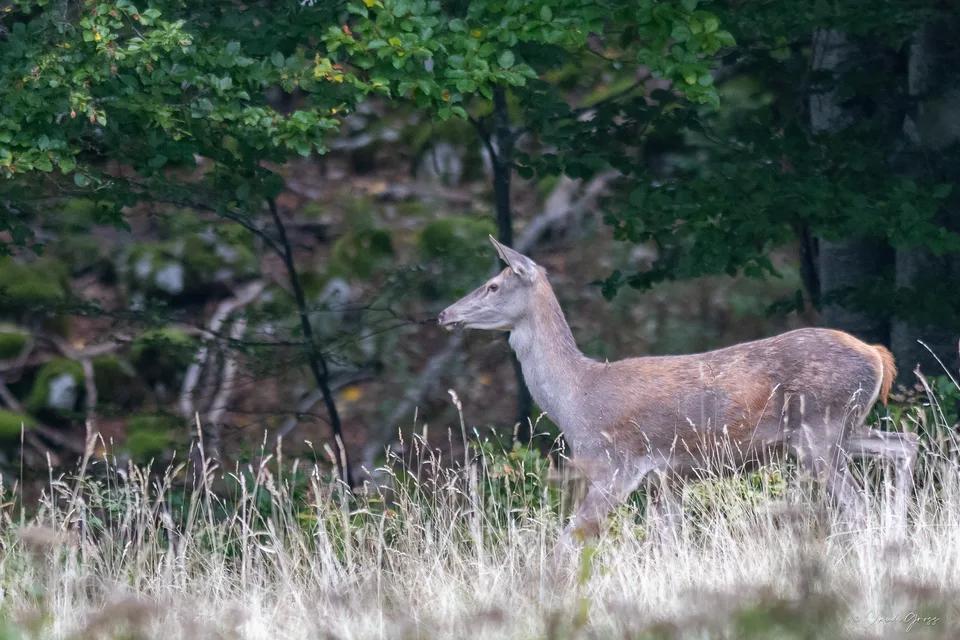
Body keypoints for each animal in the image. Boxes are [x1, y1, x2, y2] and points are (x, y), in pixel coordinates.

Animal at [437, 236, 920, 546]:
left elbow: (569, 538)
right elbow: (668, 541)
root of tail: (878, 356)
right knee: (905, 443)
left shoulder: (616, 465)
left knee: (858, 503)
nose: (444, 314)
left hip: (821, 429)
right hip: (842, 428)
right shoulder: (664, 477)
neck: (576, 399)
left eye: (494, 284)